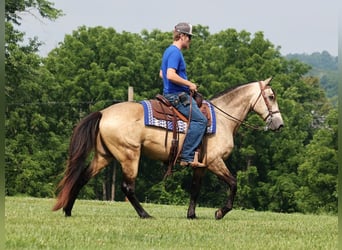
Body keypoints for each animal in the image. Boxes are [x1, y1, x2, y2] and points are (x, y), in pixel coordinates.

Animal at [52, 77, 284, 220]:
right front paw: (220, 212)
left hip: (104, 156)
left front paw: (192, 215)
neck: (223, 119)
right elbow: (234, 183)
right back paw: (145, 214)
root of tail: (103, 113)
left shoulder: (200, 165)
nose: (279, 125)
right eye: (271, 96)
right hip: (129, 156)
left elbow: (195, 189)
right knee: (127, 188)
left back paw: (68, 210)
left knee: (82, 178)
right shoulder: (214, 161)